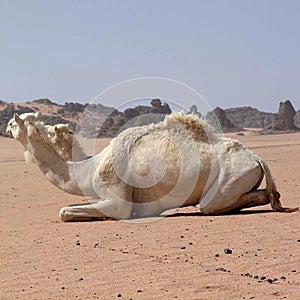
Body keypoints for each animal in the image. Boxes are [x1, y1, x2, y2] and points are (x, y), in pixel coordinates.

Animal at [5, 112, 296, 220]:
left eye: (11, 123)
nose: (5, 127)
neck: (88, 170)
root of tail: (257, 159)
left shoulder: (118, 201)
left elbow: (64, 211)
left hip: (228, 179)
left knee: (211, 204)